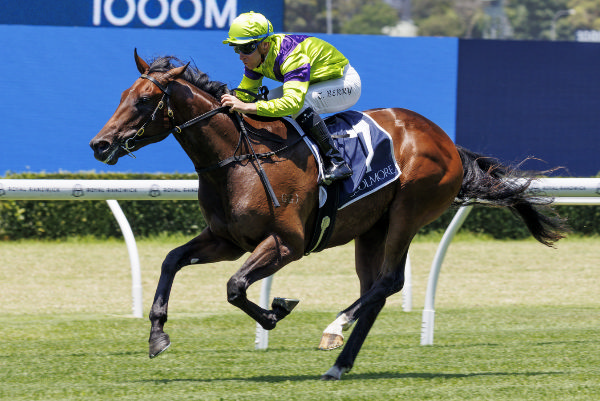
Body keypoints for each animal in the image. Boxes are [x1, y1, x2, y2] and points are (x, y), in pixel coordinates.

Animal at [86, 50, 564, 378]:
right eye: (124, 95)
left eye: (145, 99)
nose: (100, 144)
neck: (238, 159)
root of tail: (446, 140)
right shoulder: (226, 240)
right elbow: (172, 261)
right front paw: (157, 335)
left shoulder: (287, 244)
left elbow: (236, 286)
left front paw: (276, 310)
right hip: (372, 229)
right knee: (376, 289)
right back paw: (340, 362)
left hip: (408, 211)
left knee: (389, 281)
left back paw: (334, 328)